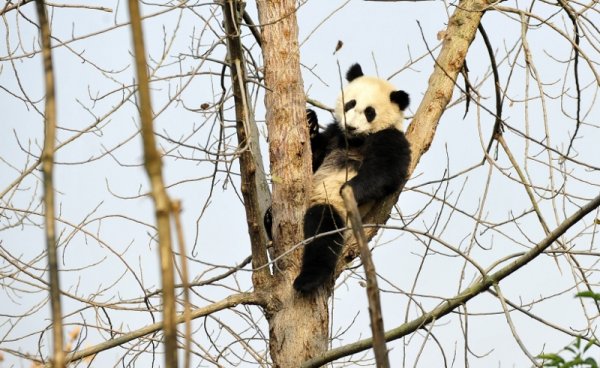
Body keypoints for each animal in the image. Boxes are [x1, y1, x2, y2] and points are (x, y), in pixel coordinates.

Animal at [264, 63, 410, 294]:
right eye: (351, 104)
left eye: (370, 112)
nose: (351, 126)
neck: (354, 139)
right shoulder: (334, 135)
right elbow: (313, 158)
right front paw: (310, 122)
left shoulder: (390, 137)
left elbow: (387, 170)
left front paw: (350, 188)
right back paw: (269, 218)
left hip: (342, 215)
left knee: (323, 230)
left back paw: (308, 280)